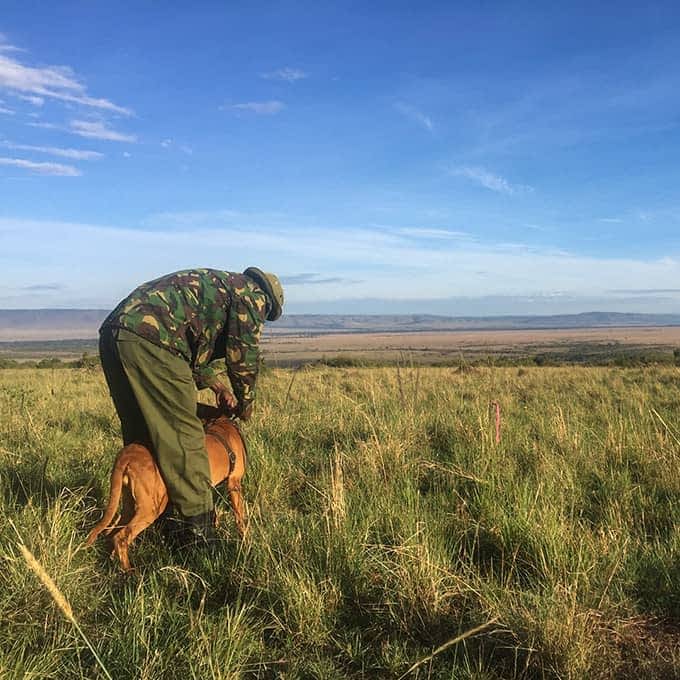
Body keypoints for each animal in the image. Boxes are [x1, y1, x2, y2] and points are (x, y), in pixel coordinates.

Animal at [85, 406, 244, 572]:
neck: (223, 421)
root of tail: (127, 455)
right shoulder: (234, 484)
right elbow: (241, 519)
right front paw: (244, 542)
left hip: (129, 504)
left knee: (111, 533)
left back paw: (110, 566)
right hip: (150, 508)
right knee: (121, 537)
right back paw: (130, 573)